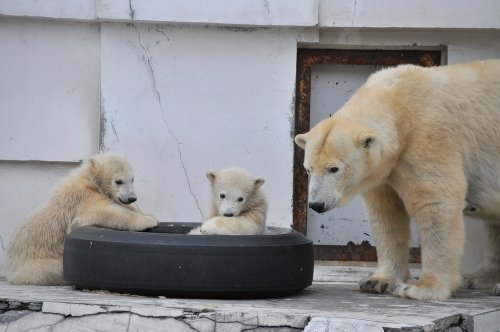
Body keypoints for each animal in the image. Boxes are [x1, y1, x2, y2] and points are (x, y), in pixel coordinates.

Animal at [294, 59, 498, 300]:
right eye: (308, 169)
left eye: (334, 169)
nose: (316, 204)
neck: (399, 102)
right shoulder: (386, 169)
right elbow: (387, 214)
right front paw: (377, 281)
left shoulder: (429, 139)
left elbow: (435, 201)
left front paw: (421, 289)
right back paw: (480, 278)